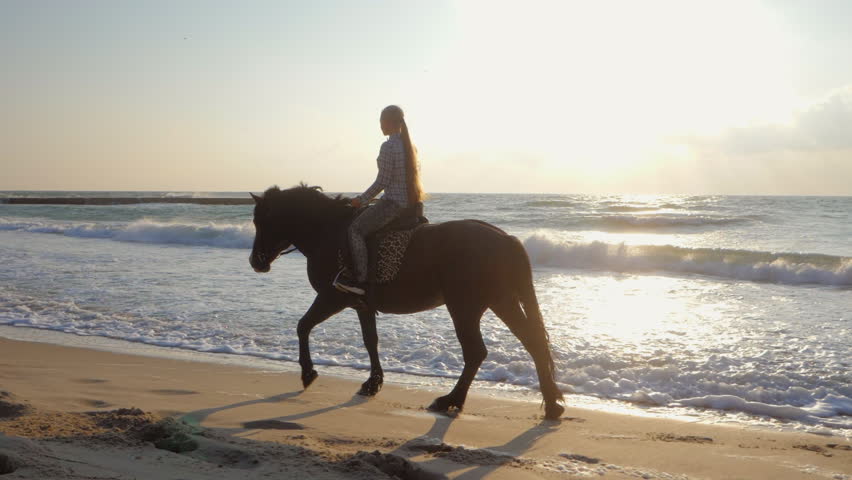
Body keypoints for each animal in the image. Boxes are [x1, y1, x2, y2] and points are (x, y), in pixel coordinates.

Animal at [248, 186, 564, 418]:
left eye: (262, 221)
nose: (255, 262)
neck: (329, 233)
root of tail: (506, 238)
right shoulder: (361, 305)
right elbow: (370, 341)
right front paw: (373, 382)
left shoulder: (331, 297)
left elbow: (303, 326)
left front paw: (308, 372)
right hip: (501, 301)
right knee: (533, 341)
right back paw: (552, 404)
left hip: (465, 307)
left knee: (477, 352)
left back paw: (451, 399)